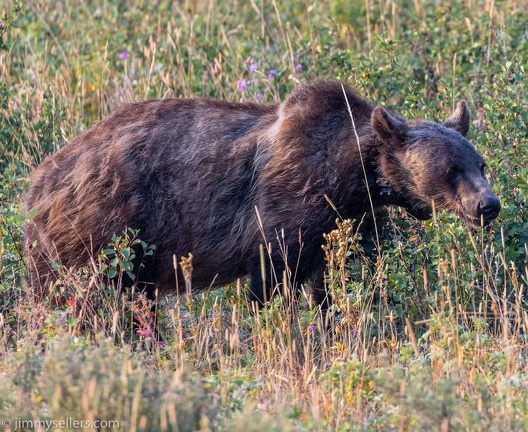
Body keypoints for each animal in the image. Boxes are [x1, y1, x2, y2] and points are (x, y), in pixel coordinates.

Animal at [27, 82, 500, 310]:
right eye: (451, 169)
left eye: (480, 164)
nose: (488, 205)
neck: (353, 172)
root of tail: (36, 184)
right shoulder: (288, 204)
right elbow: (273, 278)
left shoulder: (348, 217)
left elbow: (339, 276)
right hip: (106, 228)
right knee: (95, 297)